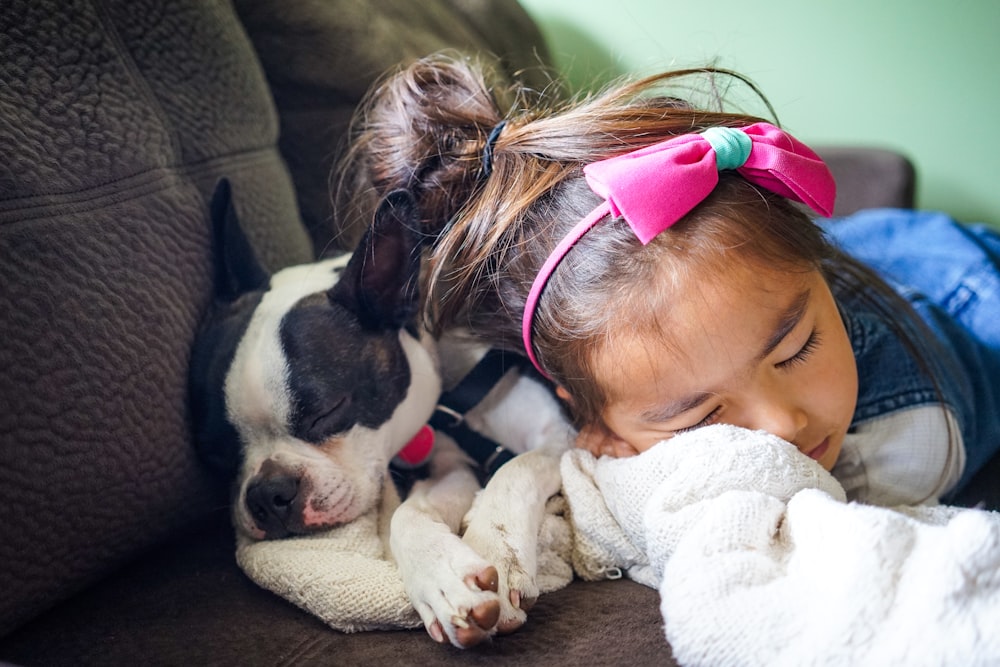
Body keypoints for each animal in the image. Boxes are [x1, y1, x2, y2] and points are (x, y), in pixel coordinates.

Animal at [190, 180, 576, 648]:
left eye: (326, 412)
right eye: (216, 453)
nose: (267, 494)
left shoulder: (560, 433)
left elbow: (516, 469)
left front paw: (496, 550)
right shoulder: (448, 463)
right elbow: (407, 514)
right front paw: (442, 579)